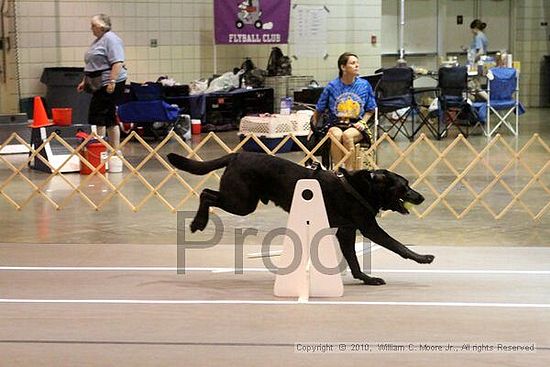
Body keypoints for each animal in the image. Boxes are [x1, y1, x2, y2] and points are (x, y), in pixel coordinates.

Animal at [168, 151, 436, 286]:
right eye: (404, 186)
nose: (421, 197)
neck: (362, 188)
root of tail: (236, 155)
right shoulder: (369, 227)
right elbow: (398, 245)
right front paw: (423, 258)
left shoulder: (346, 231)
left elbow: (353, 259)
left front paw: (366, 279)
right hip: (241, 203)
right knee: (206, 193)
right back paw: (198, 223)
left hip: (242, 201)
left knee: (208, 193)